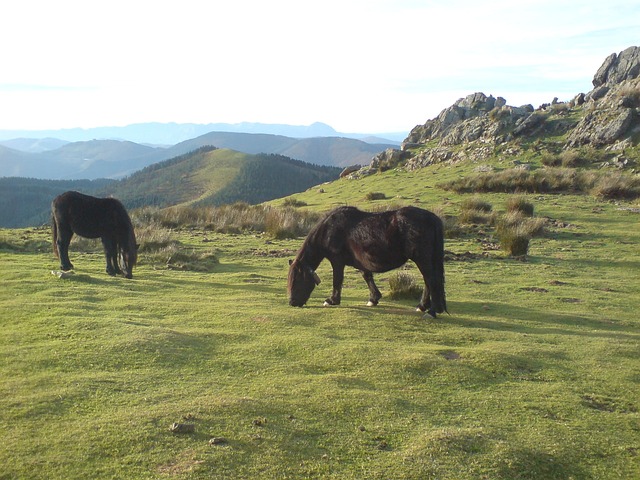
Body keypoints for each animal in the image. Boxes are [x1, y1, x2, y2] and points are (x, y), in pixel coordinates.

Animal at [288, 204, 448, 316]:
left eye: (297, 280)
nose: (292, 303)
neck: (330, 230)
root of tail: (432, 218)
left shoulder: (337, 261)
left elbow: (337, 280)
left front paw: (332, 300)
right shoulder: (361, 260)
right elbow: (367, 276)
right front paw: (373, 299)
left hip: (422, 258)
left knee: (431, 280)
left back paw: (431, 311)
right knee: (429, 281)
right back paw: (423, 306)